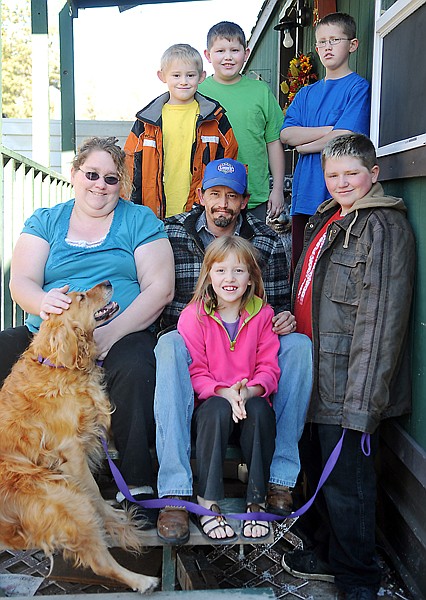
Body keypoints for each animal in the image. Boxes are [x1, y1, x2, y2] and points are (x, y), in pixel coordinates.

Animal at [0, 284, 159, 592]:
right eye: (81, 297)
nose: (108, 282)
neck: (58, 365)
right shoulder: (71, 451)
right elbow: (94, 491)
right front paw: (109, 514)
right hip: (65, 495)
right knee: (99, 561)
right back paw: (141, 580)